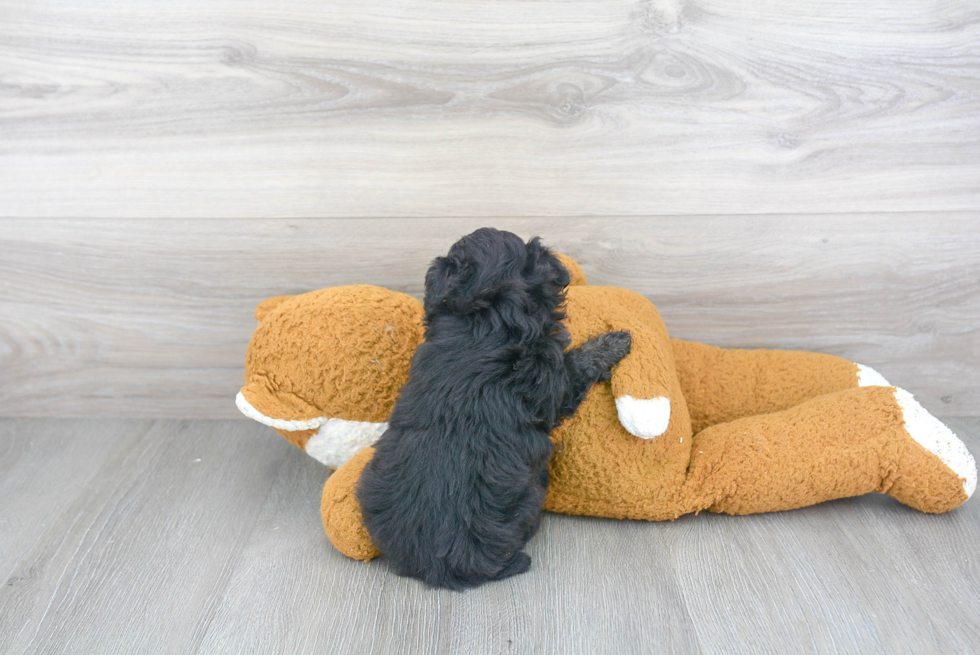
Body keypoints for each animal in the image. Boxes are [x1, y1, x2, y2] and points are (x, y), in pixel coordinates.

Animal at [356, 228, 632, 592]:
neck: (486, 314)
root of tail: (435, 565)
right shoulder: (553, 382)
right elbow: (577, 364)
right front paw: (615, 342)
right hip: (528, 499)